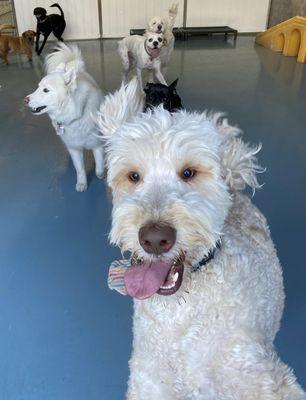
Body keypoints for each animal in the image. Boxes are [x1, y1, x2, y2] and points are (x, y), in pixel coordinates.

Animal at [24, 42, 103, 192]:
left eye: (46, 90)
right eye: (38, 87)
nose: (25, 100)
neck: (76, 115)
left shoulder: (97, 145)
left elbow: (100, 165)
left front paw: (101, 175)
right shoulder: (74, 148)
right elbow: (80, 169)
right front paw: (82, 183)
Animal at [97, 79, 304, 400]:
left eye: (188, 172)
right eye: (133, 176)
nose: (154, 239)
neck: (179, 316)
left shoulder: (262, 377)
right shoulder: (148, 380)